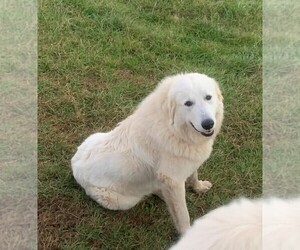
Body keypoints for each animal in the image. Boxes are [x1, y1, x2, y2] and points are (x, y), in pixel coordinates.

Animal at [71, 73, 224, 233]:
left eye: (208, 97)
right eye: (188, 103)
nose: (208, 124)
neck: (174, 130)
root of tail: (74, 165)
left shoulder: (187, 164)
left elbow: (193, 176)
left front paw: (198, 187)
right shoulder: (174, 181)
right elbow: (183, 215)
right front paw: (187, 234)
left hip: (95, 136)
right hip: (125, 201)